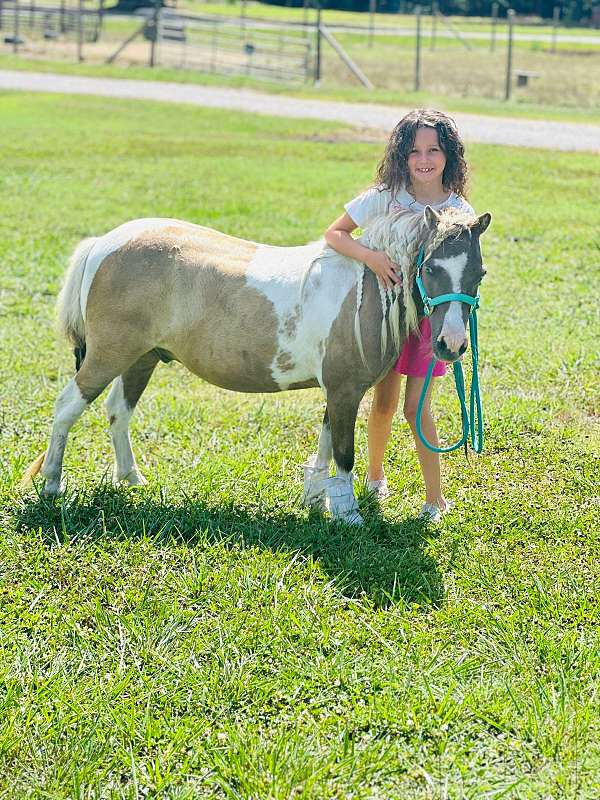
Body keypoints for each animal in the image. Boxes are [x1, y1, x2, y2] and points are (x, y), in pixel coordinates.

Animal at [23, 205, 490, 524]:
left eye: (479, 273)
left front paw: (317, 499)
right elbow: (343, 453)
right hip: (108, 355)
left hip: (142, 358)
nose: (451, 345)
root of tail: (102, 244)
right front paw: (349, 514)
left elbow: (325, 443)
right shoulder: (344, 391)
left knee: (118, 412)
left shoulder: (337, 391)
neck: (366, 288)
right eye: (431, 267)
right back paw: (52, 484)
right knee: (67, 407)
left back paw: (132, 480)